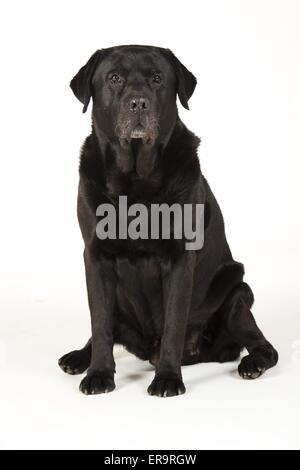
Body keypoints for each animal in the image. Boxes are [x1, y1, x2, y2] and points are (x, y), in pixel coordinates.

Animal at [58, 45, 278, 396]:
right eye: (114, 78)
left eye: (157, 79)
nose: (138, 102)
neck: (135, 182)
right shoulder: (95, 256)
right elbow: (100, 322)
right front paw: (99, 373)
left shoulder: (179, 258)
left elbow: (174, 321)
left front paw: (168, 379)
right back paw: (79, 357)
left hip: (236, 293)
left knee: (263, 345)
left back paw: (252, 363)